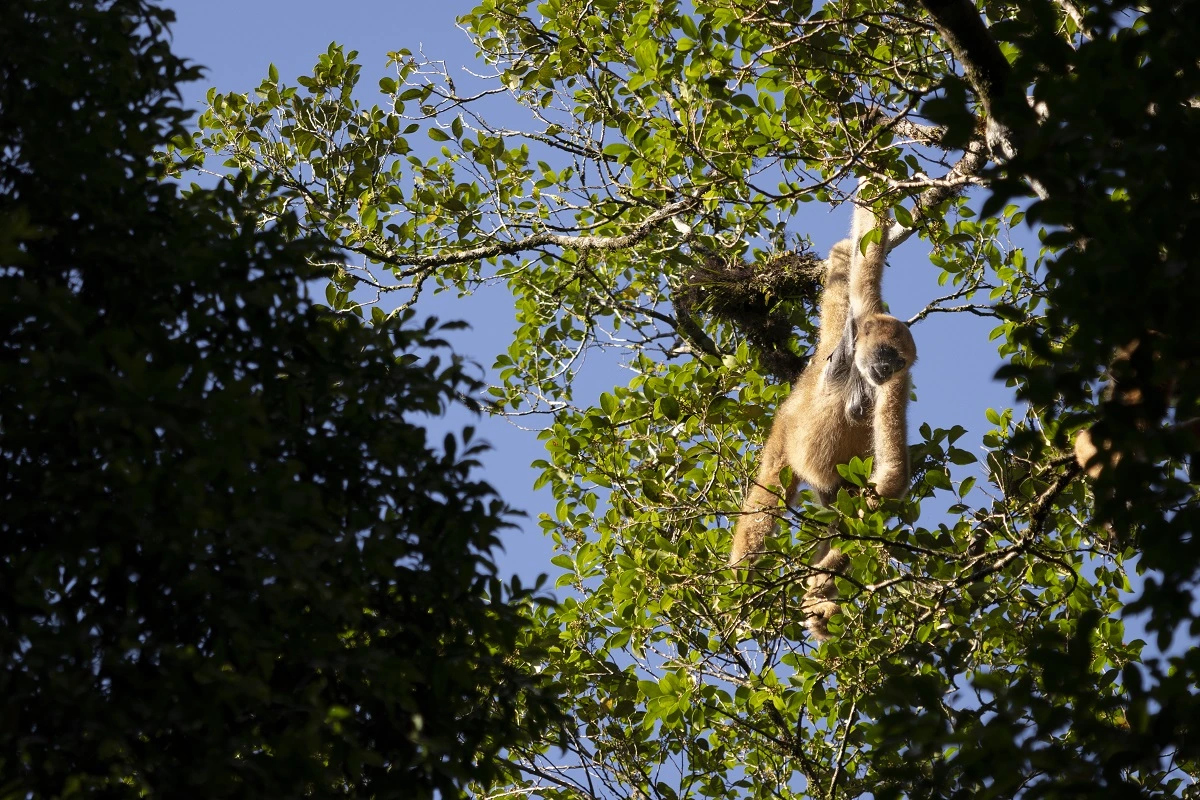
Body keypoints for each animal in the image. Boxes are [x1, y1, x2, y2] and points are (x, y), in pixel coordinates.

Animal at [724, 203, 912, 642]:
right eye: (885, 353)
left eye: (898, 361)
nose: (885, 368)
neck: (857, 372)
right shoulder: (862, 316)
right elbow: (866, 253)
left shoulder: (896, 384)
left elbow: (891, 476)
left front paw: (820, 585)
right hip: (784, 435)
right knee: (768, 497)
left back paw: (817, 596)